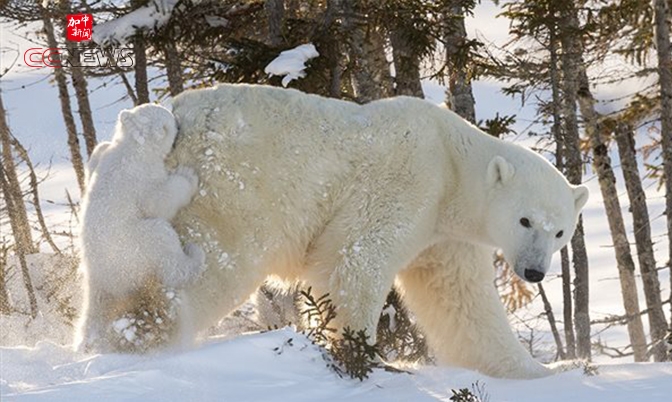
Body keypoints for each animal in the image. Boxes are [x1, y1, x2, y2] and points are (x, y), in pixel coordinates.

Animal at [161, 83, 584, 378]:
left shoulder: (446, 236)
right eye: (525, 220)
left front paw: (543, 371)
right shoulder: (409, 181)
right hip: (232, 189)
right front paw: (366, 354)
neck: (452, 163)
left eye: (560, 232)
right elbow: (354, 259)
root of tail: (177, 114)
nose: (534, 271)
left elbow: (463, 301)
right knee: (212, 265)